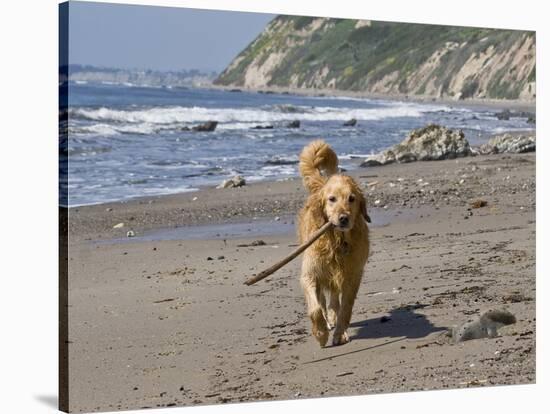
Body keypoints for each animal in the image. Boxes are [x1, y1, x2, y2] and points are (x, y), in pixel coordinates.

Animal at [298, 140, 370, 346]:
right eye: (332, 199)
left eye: (352, 199)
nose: (343, 218)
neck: (337, 242)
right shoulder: (310, 274)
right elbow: (315, 308)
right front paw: (321, 333)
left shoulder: (352, 276)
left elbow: (345, 308)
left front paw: (340, 333)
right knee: (322, 300)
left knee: (334, 301)